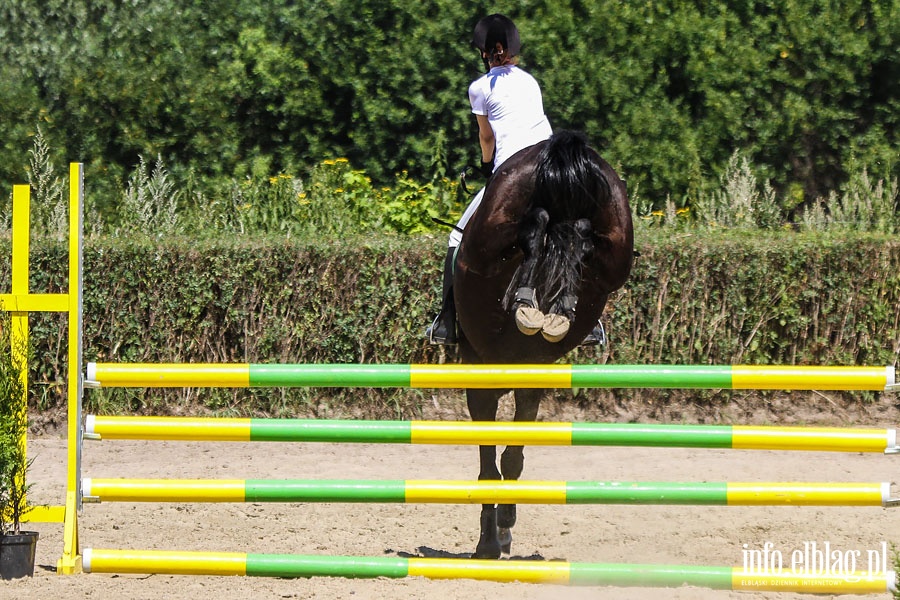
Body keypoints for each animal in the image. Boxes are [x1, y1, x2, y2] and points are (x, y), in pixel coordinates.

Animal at [450, 129, 632, 560]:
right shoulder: (528, 379)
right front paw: (500, 530)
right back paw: (552, 309)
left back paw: (529, 303)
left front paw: (492, 538)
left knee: (538, 227)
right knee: (576, 232)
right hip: (616, 241)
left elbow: (493, 463)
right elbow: (510, 458)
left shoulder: (485, 378)